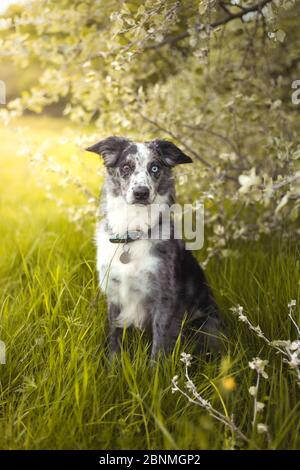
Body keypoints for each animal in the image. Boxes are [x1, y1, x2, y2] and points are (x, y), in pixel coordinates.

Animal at [86, 137, 223, 360]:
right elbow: (114, 337)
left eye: (155, 168)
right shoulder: (114, 292)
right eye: (126, 167)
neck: (132, 234)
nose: (141, 193)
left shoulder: (164, 297)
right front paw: (112, 365)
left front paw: (154, 369)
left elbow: (159, 345)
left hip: (206, 321)